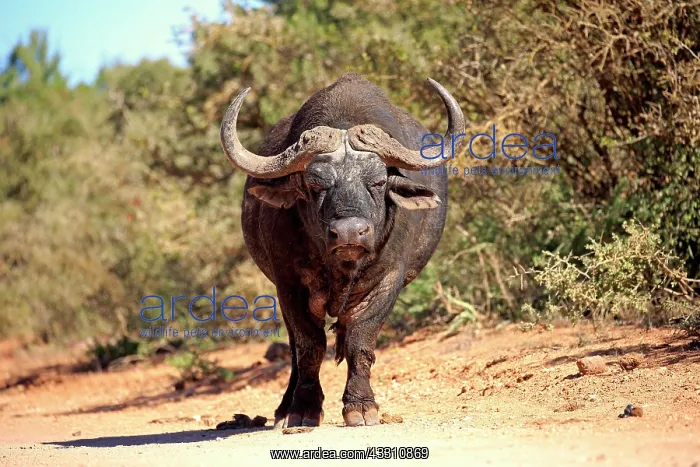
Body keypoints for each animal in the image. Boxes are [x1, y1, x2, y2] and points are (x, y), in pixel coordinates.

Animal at [219, 73, 464, 427]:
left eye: (378, 181)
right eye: (315, 183)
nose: (350, 233)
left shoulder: (387, 282)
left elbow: (359, 341)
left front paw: (360, 406)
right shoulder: (288, 284)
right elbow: (309, 346)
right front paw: (302, 409)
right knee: (294, 348)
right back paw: (283, 408)